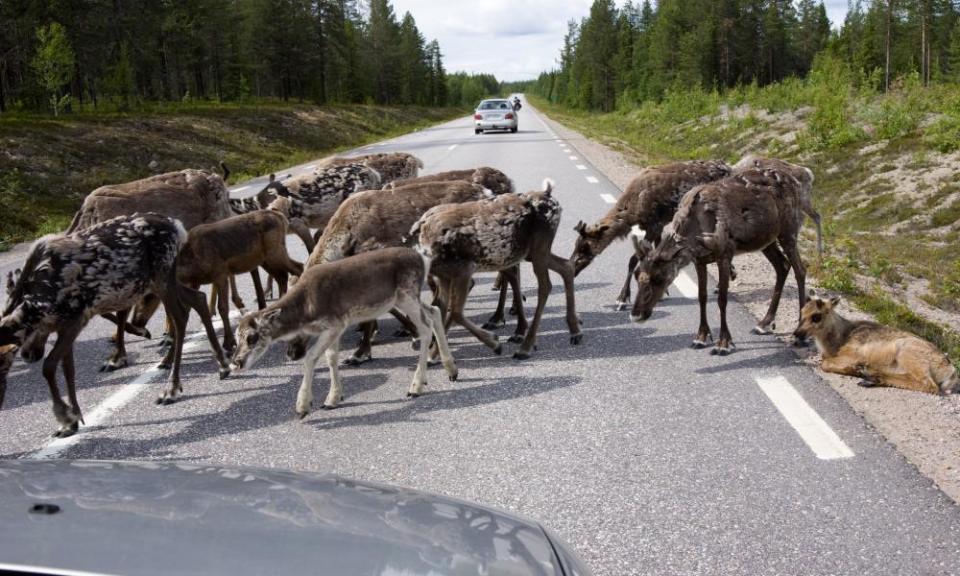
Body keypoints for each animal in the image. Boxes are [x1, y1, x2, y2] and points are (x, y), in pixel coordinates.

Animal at [231, 248, 460, 418]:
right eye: (236, 337)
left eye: (252, 337)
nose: (236, 362)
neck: (306, 310)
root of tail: (424, 259)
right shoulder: (334, 328)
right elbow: (331, 357)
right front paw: (333, 399)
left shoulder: (335, 323)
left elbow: (311, 357)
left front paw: (303, 406)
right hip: (406, 298)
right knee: (435, 311)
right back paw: (451, 371)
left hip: (407, 294)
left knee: (425, 326)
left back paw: (416, 387)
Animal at [792, 294, 956, 394]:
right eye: (802, 311)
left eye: (816, 316)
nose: (797, 333)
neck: (839, 340)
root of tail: (951, 371)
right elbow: (824, 361)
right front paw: (856, 369)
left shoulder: (854, 353)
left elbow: (824, 364)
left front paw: (854, 369)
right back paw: (869, 375)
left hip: (909, 353)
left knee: (929, 385)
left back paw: (867, 375)